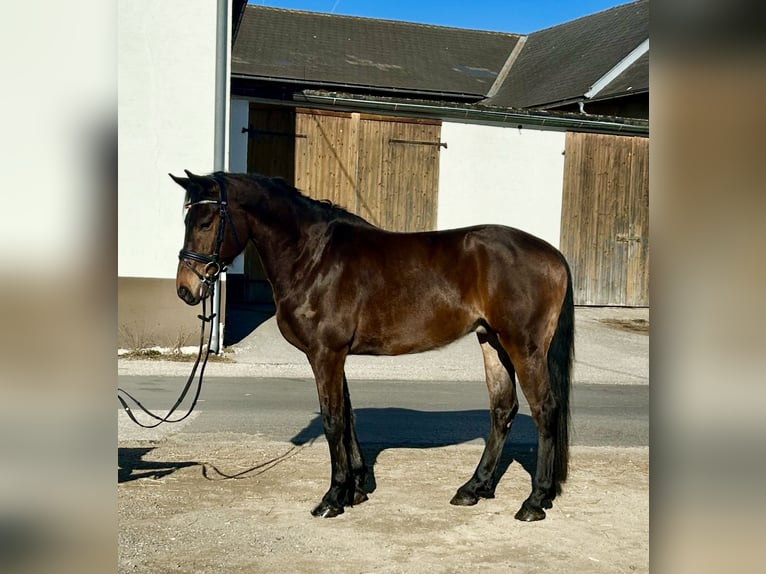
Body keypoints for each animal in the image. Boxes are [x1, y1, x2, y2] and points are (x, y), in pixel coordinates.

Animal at [171, 170, 572, 520]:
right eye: (186, 220)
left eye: (206, 222)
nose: (186, 290)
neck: (313, 258)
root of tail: (553, 255)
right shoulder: (336, 355)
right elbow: (348, 416)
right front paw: (357, 487)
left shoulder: (326, 354)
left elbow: (334, 420)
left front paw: (334, 497)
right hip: (492, 341)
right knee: (503, 409)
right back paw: (474, 488)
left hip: (523, 347)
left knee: (545, 410)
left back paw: (535, 500)